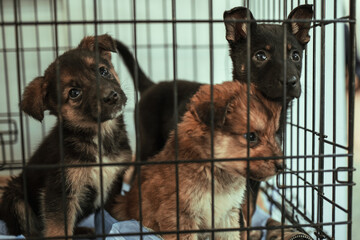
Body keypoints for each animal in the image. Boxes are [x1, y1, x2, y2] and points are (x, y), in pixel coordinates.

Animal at [0, 34, 132, 238]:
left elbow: (111, 218)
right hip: (15, 197)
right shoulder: (59, 192)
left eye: (103, 71)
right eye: (74, 93)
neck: (99, 136)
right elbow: (58, 229)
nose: (111, 97)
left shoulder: (114, 184)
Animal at [109, 81, 284, 240]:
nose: (282, 166)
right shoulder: (180, 216)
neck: (214, 170)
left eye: (274, 133)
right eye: (251, 136)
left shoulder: (228, 215)